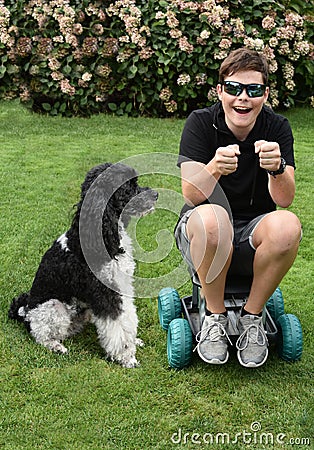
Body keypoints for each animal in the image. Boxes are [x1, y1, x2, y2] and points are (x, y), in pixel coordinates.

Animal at [7, 163, 157, 368]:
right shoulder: (105, 293)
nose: (156, 194)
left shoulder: (121, 286)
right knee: (40, 334)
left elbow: (128, 316)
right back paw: (55, 346)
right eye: (128, 187)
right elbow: (117, 324)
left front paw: (134, 341)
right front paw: (126, 357)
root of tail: (25, 311)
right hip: (53, 306)